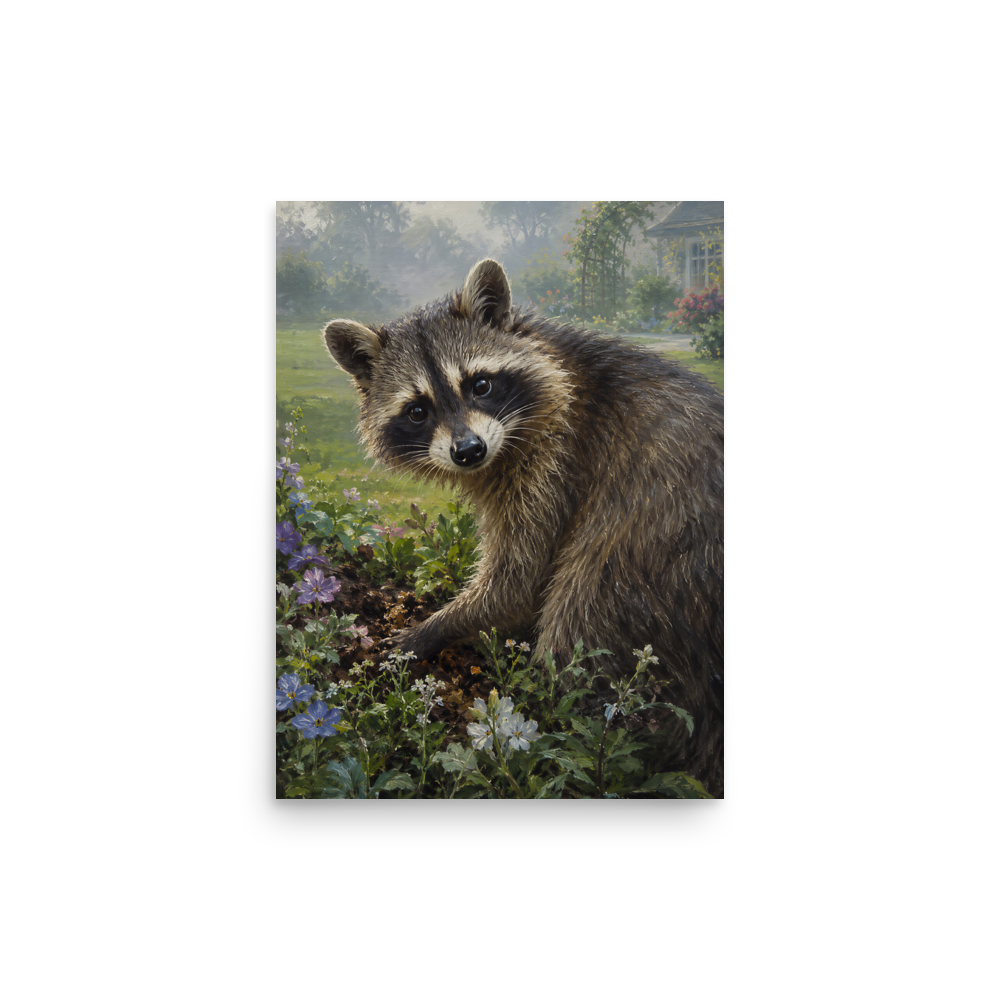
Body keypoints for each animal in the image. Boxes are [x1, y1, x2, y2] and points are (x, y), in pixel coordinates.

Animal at [324, 259, 724, 795]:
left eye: (480, 385)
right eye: (417, 410)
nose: (468, 451)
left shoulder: (558, 461)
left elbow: (518, 582)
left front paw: (433, 628)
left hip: (652, 561)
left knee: (581, 619)